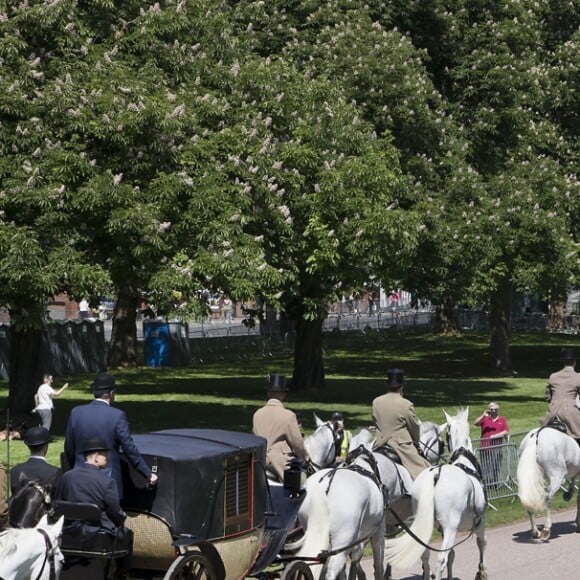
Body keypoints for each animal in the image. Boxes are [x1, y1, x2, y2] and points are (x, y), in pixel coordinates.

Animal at [388, 408, 488, 580]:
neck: (464, 461)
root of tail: (435, 476)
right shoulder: (479, 522)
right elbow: (481, 544)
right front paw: (481, 571)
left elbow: (452, 555)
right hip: (451, 527)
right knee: (441, 558)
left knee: (425, 555)